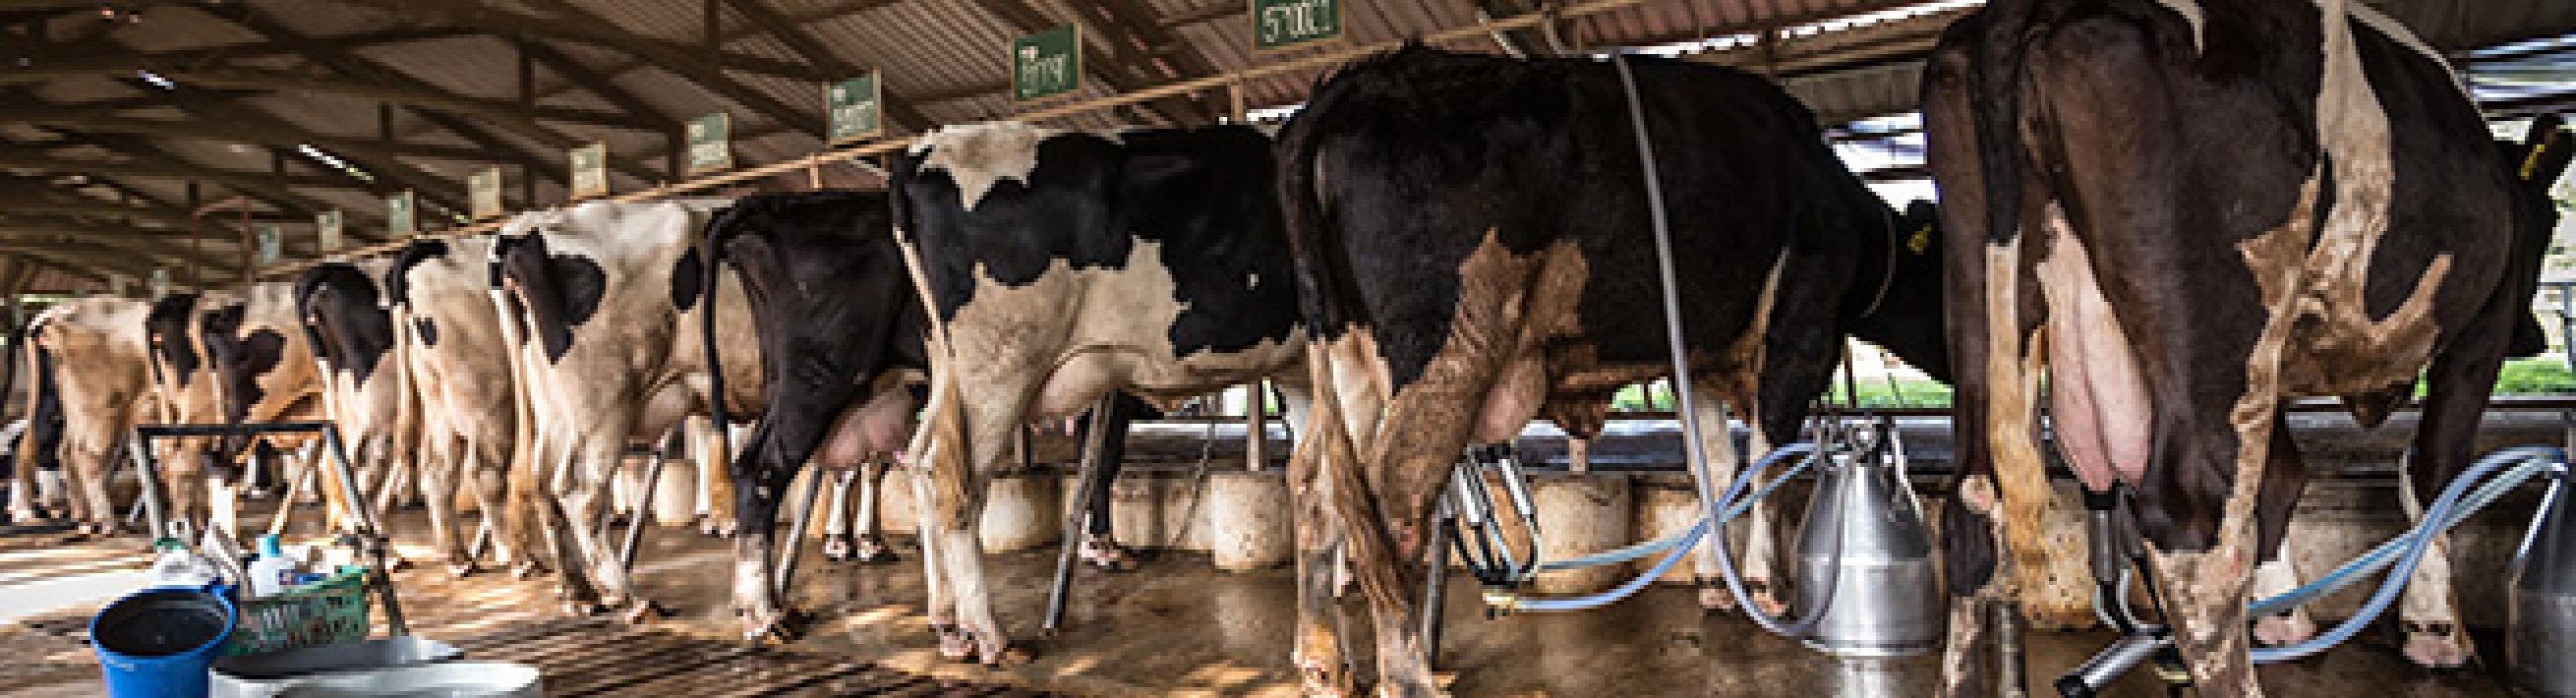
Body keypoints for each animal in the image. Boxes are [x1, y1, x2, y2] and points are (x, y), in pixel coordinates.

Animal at [891, 121, 1328, 669]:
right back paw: (992, 637)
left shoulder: (1301, 370)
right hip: (999, 368)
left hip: (949, 368)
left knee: (921, 461)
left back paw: (950, 627)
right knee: (955, 482)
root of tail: (924, 149)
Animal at [1926, 2, 2576, 695]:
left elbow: (2279, 477)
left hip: (1979, 295)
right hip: (2224, 331)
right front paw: (2435, 634)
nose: (2535, 338)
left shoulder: (2279, 360)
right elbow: (2433, 474)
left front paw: (2284, 617)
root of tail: (2041, 8)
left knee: (1972, 513)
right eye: (2550, 224)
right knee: (2195, 532)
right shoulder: (2485, 324)